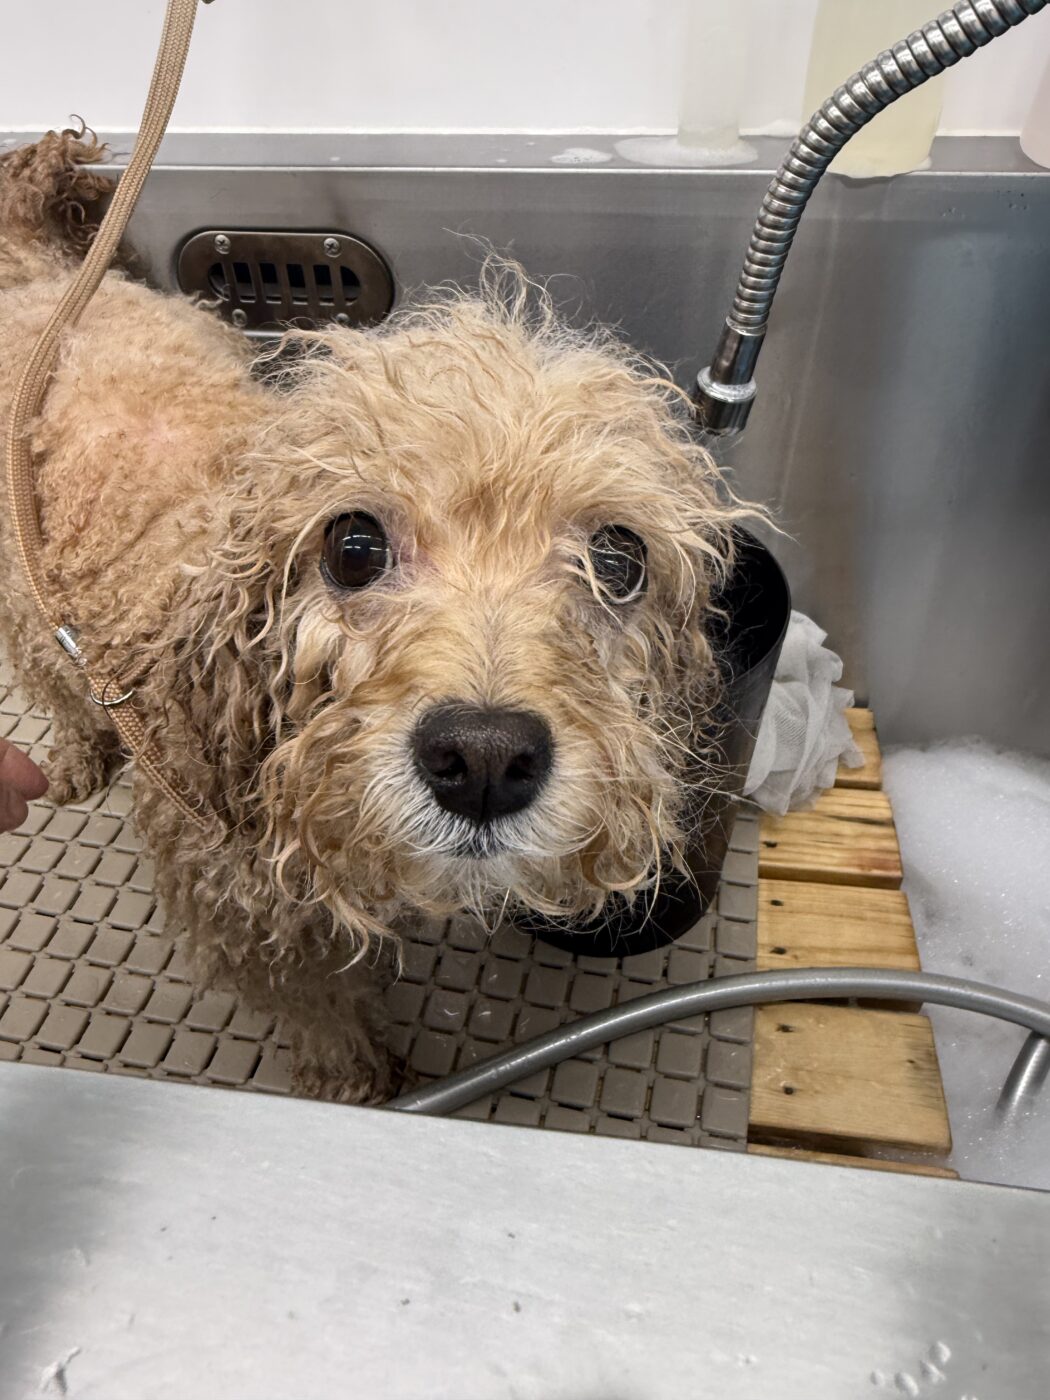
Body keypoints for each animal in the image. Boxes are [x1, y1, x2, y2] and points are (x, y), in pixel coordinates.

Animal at [0, 129, 744, 1101]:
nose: (484, 758)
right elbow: (318, 1009)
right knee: (52, 684)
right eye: (353, 546)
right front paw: (354, 1077)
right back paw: (81, 751)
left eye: (619, 561)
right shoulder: (247, 924)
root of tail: (39, 281)